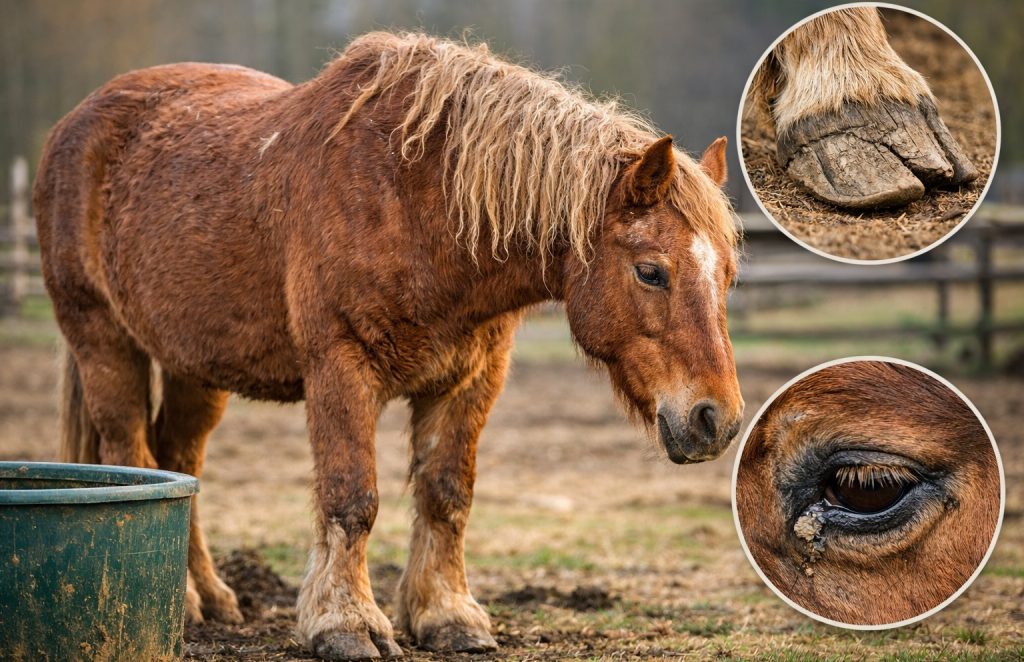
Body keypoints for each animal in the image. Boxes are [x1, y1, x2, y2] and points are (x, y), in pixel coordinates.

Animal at [34, 32, 743, 659]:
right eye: (651, 271)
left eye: (731, 273)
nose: (718, 420)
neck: (415, 200)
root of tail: (73, 124)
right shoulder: (341, 369)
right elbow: (352, 499)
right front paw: (345, 625)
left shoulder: (470, 379)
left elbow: (446, 496)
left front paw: (447, 617)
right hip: (103, 340)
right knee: (133, 450)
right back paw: (180, 601)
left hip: (194, 365)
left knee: (180, 458)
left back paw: (210, 597)